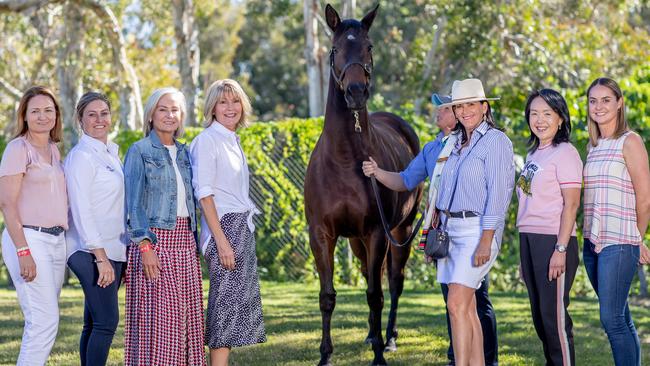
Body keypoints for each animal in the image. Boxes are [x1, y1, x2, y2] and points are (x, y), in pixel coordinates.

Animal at [306, 3, 422, 366]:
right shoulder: (322, 235)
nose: (356, 93)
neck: (345, 159)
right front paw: (325, 356)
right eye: (334, 50)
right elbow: (327, 296)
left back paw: (389, 338)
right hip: (357, 242)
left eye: (369, 47)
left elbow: (376, 294)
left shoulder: (377, 232)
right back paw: (373, 335)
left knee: (394, 282)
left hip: (399, 231)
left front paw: (379, 357)